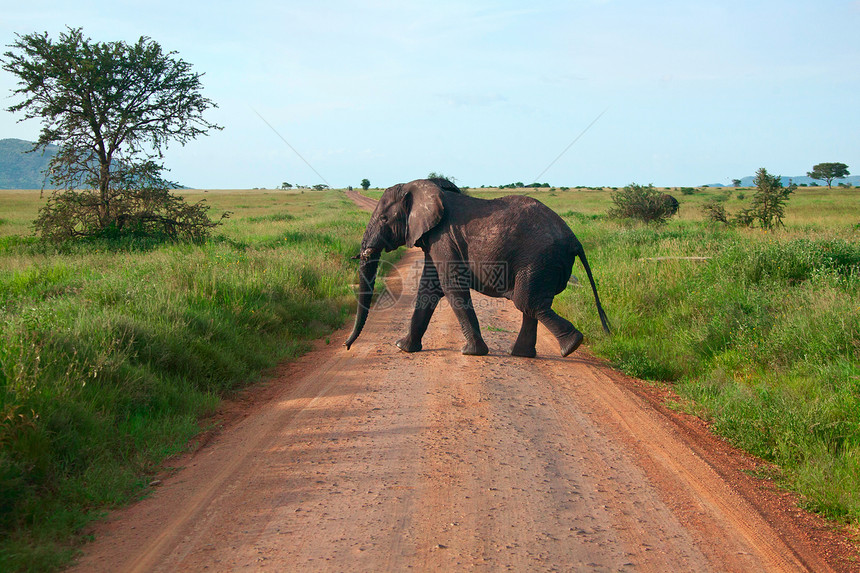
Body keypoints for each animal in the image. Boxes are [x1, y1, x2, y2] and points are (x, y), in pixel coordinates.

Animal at [342, 179, 612, 358]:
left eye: (384, 219)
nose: (346, 346)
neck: (423, 187)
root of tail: (574, 239)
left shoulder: (442, 238)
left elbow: (451, 288)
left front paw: (471, 352)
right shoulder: (435, 239)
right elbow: (429, 289)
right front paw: (403, 347)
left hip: (539, 259)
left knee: (528, 303)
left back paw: (571, 346)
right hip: (543, 263)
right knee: (531, 304)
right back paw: (524, 354)